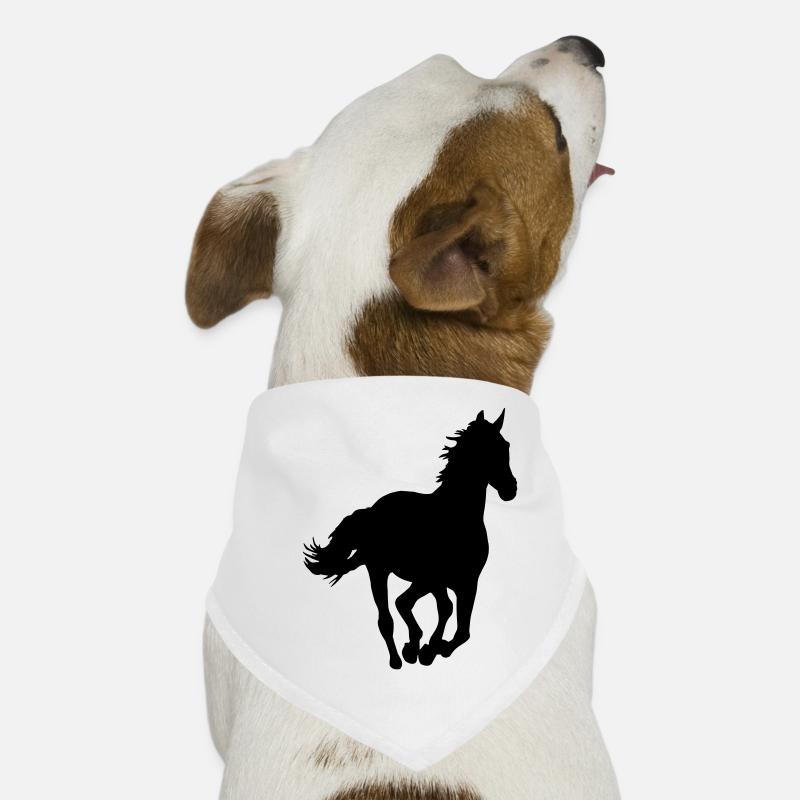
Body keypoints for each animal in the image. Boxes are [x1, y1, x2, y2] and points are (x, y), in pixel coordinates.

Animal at [304, 409, 517, 669]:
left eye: (505, 446)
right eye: (488, 449)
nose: (511, 489)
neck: (455, 516)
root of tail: (373, 510)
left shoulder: (466, 582)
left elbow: (460, 629)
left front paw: (431, 649)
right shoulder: (432, 579)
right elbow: (417, 607)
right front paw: (422, 648)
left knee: (426, 608)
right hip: (379, 570)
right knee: (388, 617)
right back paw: (399, 658)